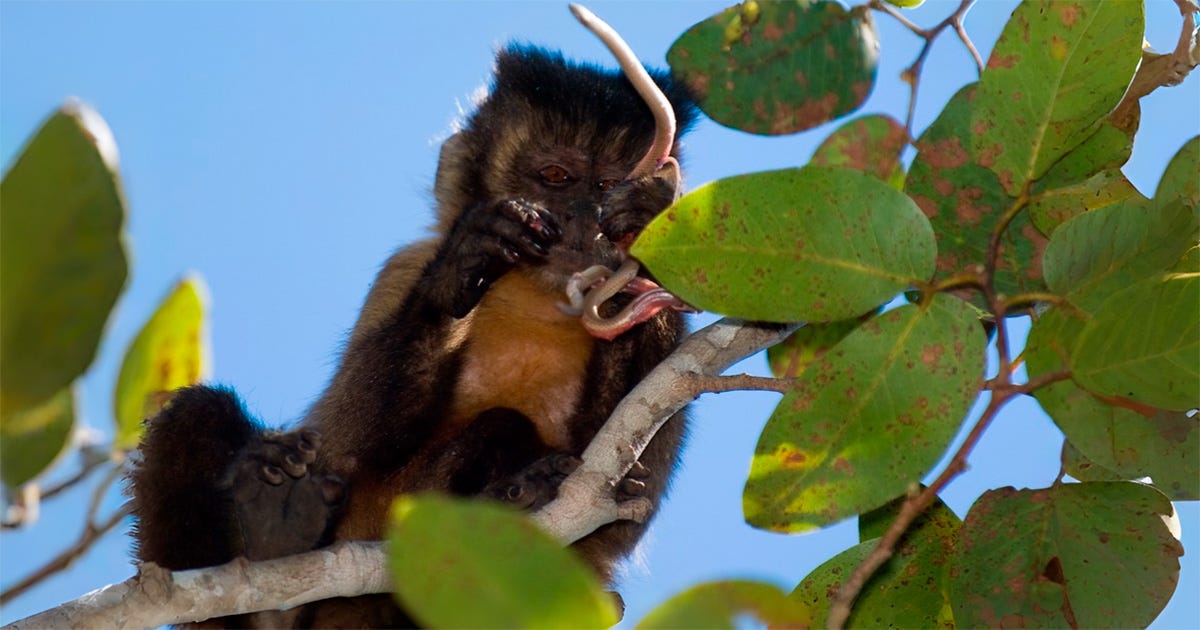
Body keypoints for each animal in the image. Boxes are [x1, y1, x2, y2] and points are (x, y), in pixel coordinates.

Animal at [128, 44, 697, 628]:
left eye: (607, 187)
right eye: (556, 176)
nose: (586, 221)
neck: (535, 294)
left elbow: (625, 503)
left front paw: (647, 226)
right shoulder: (404, 267)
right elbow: (350, 440)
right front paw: (460, 269)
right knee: (198, 412)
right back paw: (273, 553)